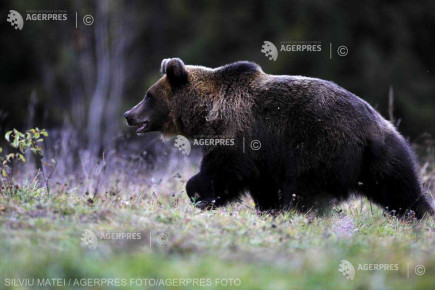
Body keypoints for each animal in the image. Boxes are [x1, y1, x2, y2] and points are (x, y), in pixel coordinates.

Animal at [124, 57, 434, 219]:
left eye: (148, 96)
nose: (128, 114)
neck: (206, 113)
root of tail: (371, 130)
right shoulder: (264, 160)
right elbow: (262, 186)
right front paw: (266, 210)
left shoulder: (240, 136)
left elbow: (223, 172)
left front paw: (199, 193)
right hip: (385, 155)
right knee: (401, 188)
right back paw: (421, 215)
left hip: (320, 148)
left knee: (304, 190)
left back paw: (299, 213)